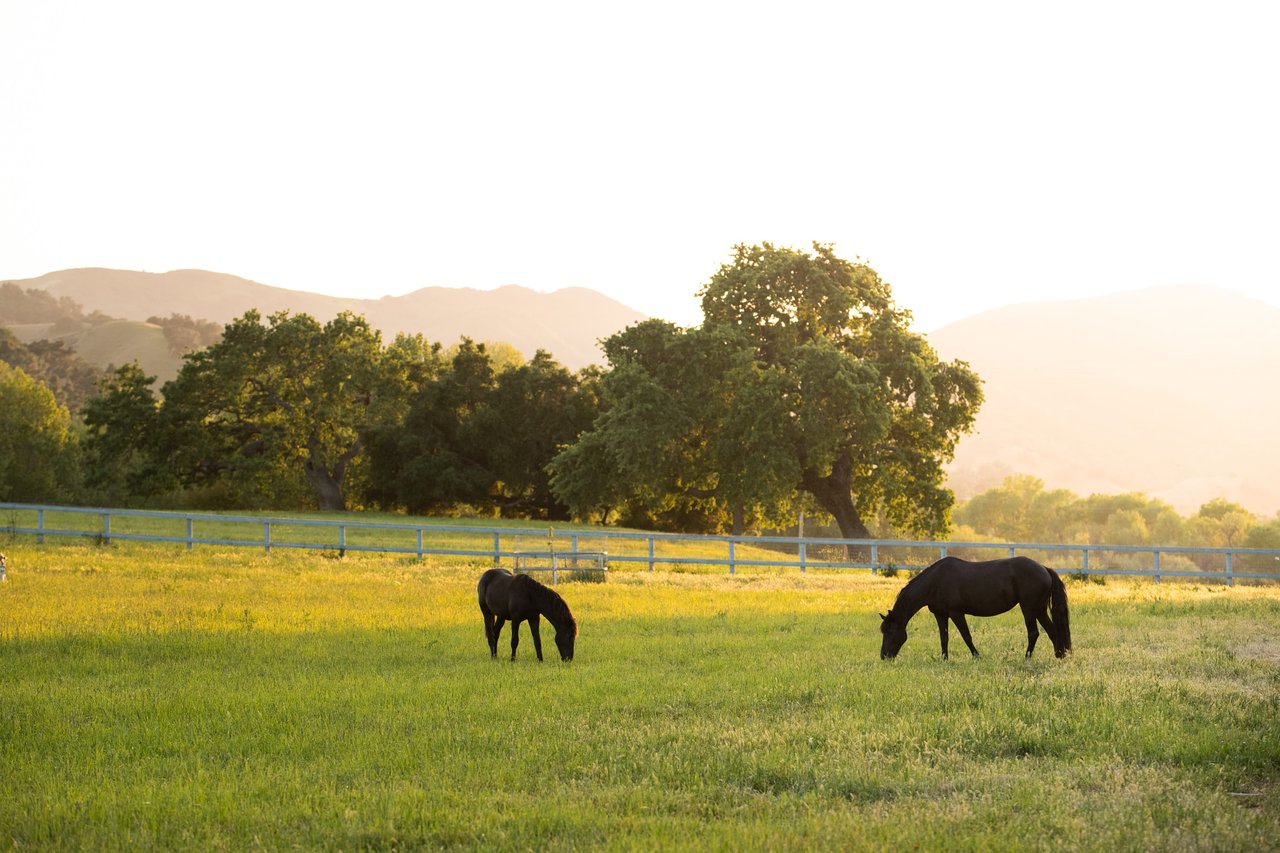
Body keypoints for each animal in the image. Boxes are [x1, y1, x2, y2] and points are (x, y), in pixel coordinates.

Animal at [880, 555, 1070, 660]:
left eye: (890, 631)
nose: (884, 656)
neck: (935, 581)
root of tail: (1044, 568)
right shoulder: (940, 615)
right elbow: (944, 638)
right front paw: (944, 659)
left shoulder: (956, 613)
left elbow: (966, 636)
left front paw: (977, 656)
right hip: (1039, 609)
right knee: (1052, 631)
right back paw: (1059, 655)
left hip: (1029, 608)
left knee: (1034, 633)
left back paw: (1027, 658)